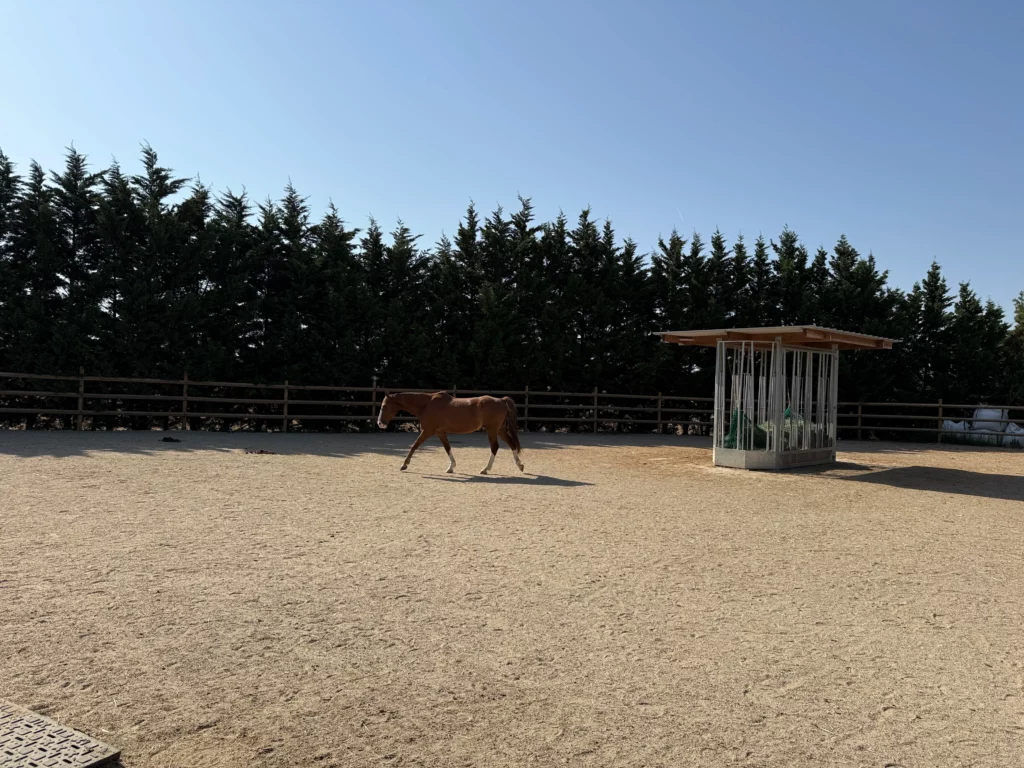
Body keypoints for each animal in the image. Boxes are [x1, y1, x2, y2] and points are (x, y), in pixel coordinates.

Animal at [376, 391, 524, 475]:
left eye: (384, 406)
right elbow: (447, 448)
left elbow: (414, 446)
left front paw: (404, 465)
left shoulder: (427, 431)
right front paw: (451, 467)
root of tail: (501, 401)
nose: (380, 423)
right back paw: (520, 465)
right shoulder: (440, 432)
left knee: (495, 447)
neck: (427, 404)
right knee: (512, 444)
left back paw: (485, 469)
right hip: (499, 430)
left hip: (492, 430)